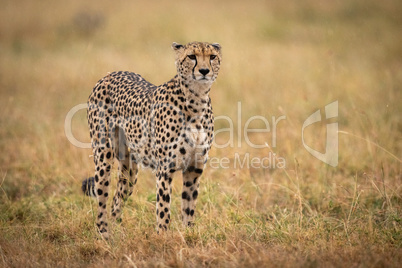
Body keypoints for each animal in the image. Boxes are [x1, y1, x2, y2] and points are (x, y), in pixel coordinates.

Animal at [81, 42, 220, 239]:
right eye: (192, 56)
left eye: (212, 56)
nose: (204, 70)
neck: (196, 101)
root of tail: (109, 74)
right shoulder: (165, 169)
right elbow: (163, 209)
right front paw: (162, 238)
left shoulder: (194, 169)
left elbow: (189, 208)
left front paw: (188, 234)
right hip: (103, 155)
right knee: (102, 197)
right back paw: (104, 235)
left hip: (130, 170)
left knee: (117, 199)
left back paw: (117, 231)